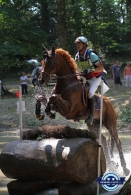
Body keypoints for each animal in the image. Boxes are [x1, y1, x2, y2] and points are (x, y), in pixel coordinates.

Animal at [35, 43, 129, 175]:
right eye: (43, 62)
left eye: (52, 62)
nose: (41, 80)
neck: (66, 84)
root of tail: (109, 102)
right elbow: (42, 97)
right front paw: (40, 113)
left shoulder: (69, 110)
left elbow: (53, 97)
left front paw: (48, 112)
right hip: (93, 124)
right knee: (103, 139)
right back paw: (111, 166)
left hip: (110, 123)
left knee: (117, 141)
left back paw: (124, 169)